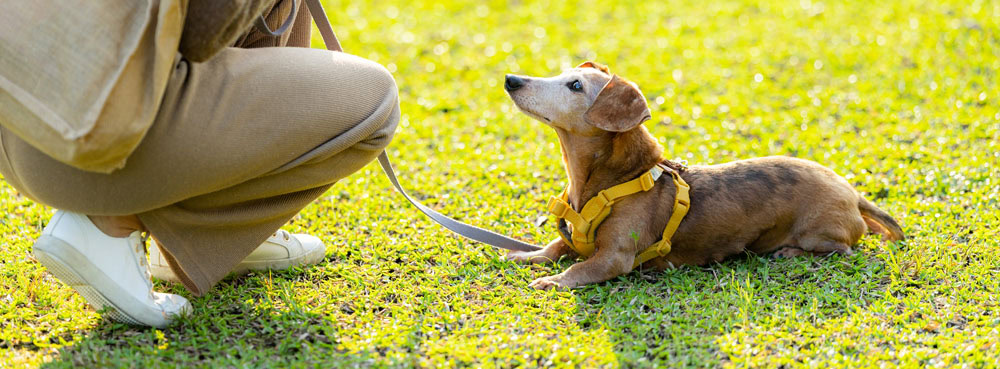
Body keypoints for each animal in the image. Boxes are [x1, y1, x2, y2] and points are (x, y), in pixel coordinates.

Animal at [504, 61, 904, 288]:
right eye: (561, 74)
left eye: (575, 86)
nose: (511, 79)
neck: (612, 180)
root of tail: (851, 192)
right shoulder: (572, 239)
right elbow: (554, 247)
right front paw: (525, 257)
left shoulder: (614, 258)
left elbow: (579, 270)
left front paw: (552, 280)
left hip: (817, 233)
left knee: (841, 249)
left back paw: (790, 252)